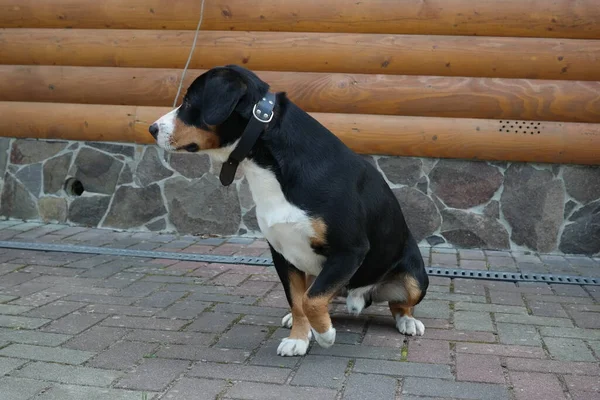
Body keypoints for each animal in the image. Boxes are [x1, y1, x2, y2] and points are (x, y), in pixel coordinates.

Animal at [150, 65, 432, 356]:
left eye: (189, 102)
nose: (152, 128)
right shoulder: (283, 253)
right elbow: (298, 300)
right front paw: (299, 337)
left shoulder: (350, 249)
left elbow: (312, 299)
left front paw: (324, 334)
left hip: (415, 277)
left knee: (400, 304)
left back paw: (408, 321)